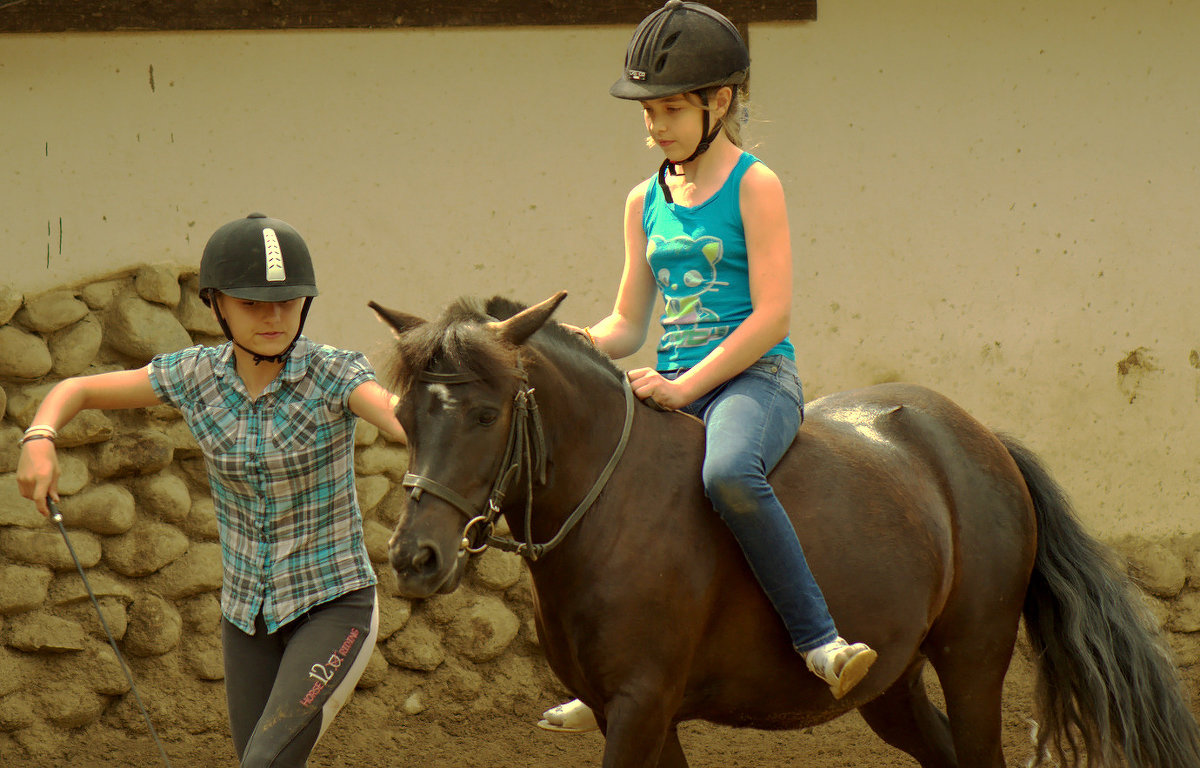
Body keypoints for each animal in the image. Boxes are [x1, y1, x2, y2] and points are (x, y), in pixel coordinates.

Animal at [369, 292, 1195, 768]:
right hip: (893, 682)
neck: (606, 513)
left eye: (486, 414)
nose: (414, 559)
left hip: (973, 658)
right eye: (404, 412)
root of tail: (980, 437)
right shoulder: (630, 711)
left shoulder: (639, 705)